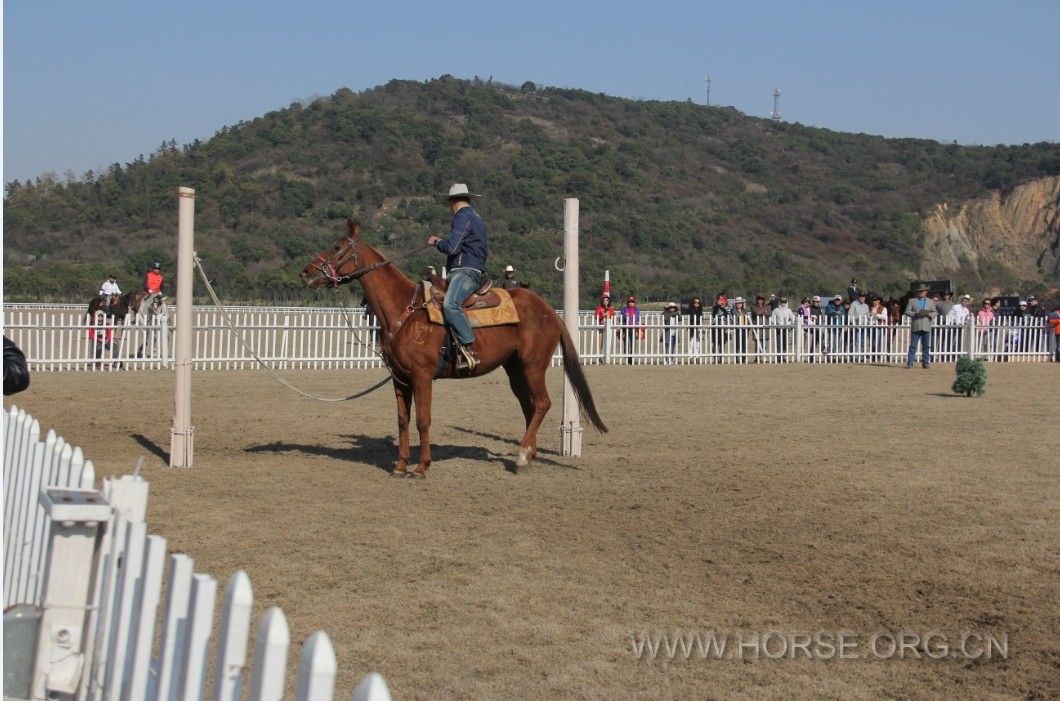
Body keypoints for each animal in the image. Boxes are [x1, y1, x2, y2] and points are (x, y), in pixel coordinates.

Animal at [303, 221, 610, 479]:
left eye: (337, 247)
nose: (306, 272)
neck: (406, 310)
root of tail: (549, 312)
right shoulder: (400, 378)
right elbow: (403, 420)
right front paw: (401, 464)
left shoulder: (422, 376)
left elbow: (423, 420)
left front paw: (421, 466)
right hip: (515, 370)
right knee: (530, 407)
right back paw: (528, 455)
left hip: (533, 366)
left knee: (542, 403)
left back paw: (523, 456)